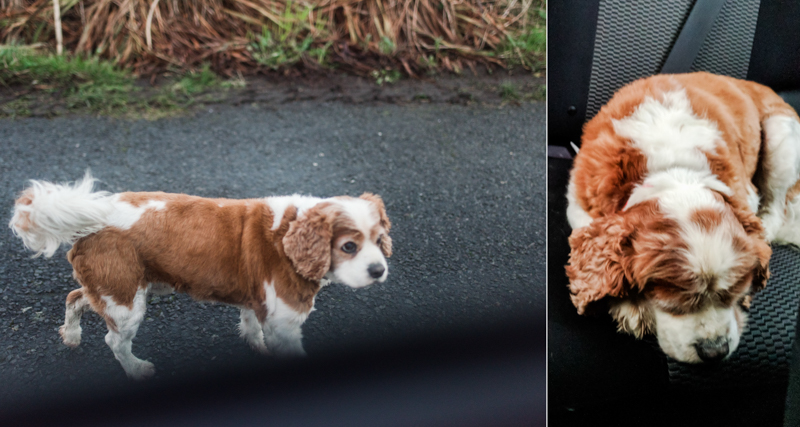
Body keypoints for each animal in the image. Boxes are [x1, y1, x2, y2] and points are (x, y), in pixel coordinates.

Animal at [7, 174, 392, 382]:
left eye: (379, 238)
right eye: (348, 246)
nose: (380, 270)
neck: (289, 233)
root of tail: (93, 218)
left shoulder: (256, 298)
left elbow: (251, 325)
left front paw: (257, 347)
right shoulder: (285, 319)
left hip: (113, 288)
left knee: (75, 297)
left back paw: (72, 336)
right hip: (126, 301)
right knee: (114, 341)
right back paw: (136, 369)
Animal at [564, 72, 800, 364]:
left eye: (734, 290)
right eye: (672, 302)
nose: (715, 351)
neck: (673, 172)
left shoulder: (745, 191)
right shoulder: (579, 199)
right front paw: (630, 305)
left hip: (782, 135)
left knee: (776, 210)